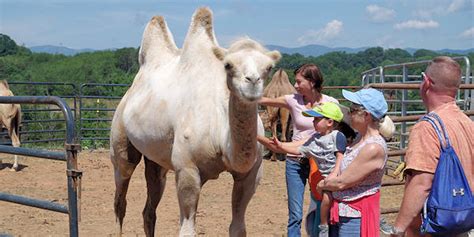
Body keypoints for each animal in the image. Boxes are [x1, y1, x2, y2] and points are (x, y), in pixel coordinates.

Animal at [110, 6, 282, 236]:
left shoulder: (251, 173)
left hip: (157, 161)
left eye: (269, 67)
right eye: (228, 65)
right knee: (120, 197)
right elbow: (187, 229)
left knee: (149, 208)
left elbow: (238, 227)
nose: (252, 81)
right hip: (120, 143)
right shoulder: (187, 169)